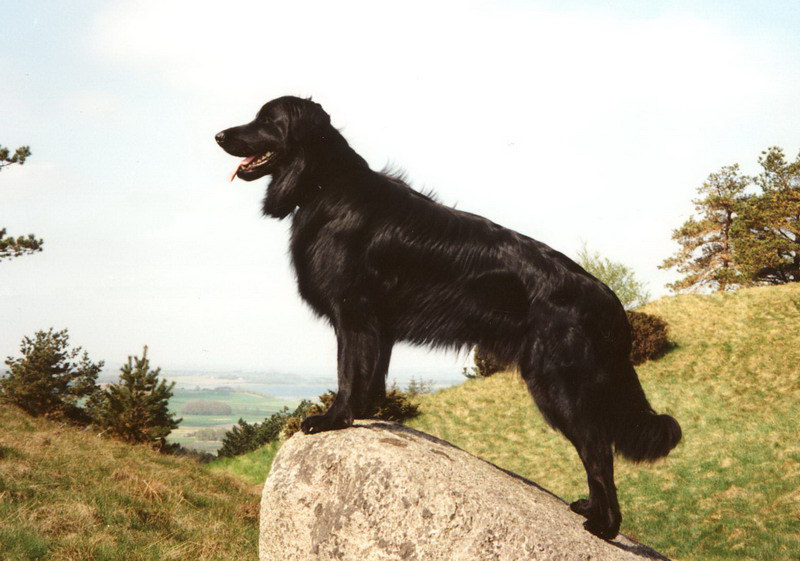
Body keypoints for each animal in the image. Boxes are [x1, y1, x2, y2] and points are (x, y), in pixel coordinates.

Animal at [216, 96, 681, 539]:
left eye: (267, 120)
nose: (218, 135)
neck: (326, 185)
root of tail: (606, 298)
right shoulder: (378, 326)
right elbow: (372, 376)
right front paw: (365, 415)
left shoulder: (353, 313)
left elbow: (348, 373)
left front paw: (334, 420)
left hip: (559, 384)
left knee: (598, 451)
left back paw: (605, 526)